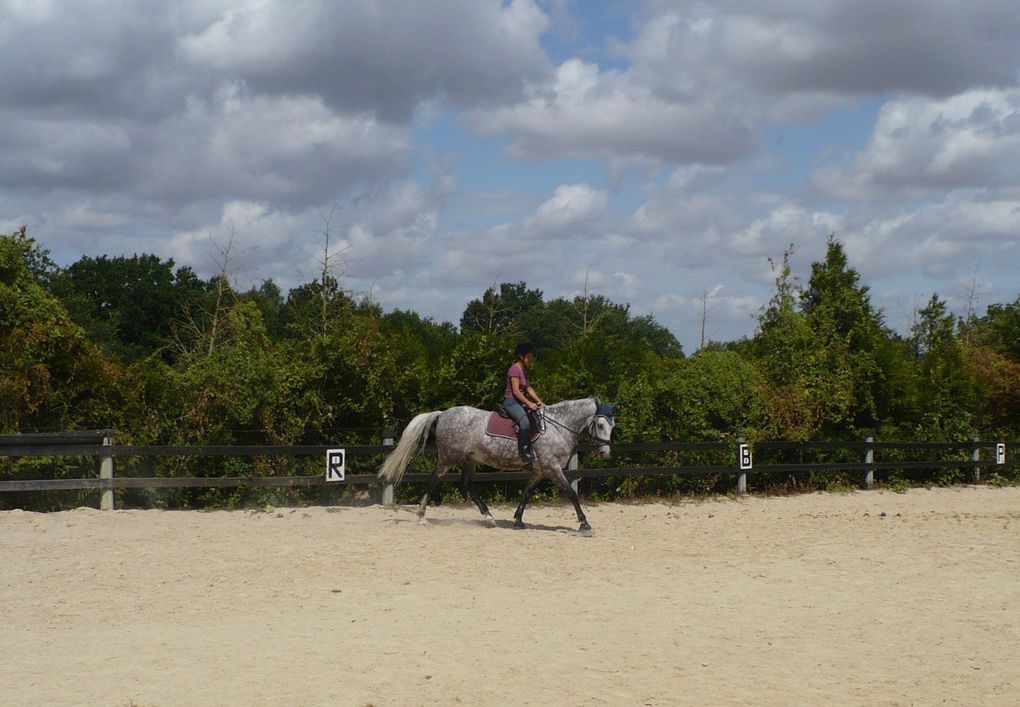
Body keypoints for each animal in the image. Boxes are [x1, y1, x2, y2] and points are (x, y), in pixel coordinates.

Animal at [377, 397, 607, 534]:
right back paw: (422, 517)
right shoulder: (553, 469)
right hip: (448, 458)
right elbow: (572, 493)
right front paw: (585, 524)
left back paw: (489, 518)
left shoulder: (540, 471)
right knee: (432, 480)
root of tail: (443, 414)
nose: (605, 452)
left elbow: (527, 493)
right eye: (601, 424)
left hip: (469, 460)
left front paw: (518, 521)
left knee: (467, 485)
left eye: (612, 425)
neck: (557, 426)